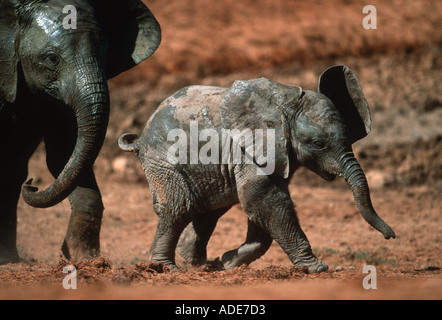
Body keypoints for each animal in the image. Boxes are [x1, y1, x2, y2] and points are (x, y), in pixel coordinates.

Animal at [119, 64, 396, 272]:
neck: (286, 104)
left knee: (208, 209)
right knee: (179, 207)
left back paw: (198, 262)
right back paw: (165, 267)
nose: (391, 236)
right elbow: (261, 198)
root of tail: (140, 138)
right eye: (318, 143)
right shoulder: (247, 149)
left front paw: (227, 263)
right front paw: (317, 268)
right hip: (162, 160)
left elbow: (260, 206)